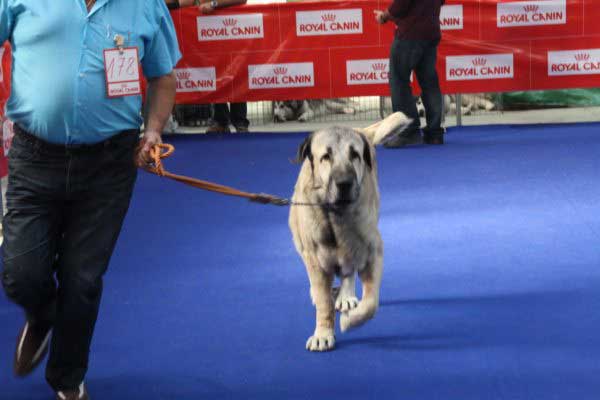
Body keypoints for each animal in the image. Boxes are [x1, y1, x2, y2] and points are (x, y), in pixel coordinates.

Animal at [288, 111, 410, 350]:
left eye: (355, 155)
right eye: (326, 156)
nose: (344, 182)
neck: (337, 217)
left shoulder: (372, 252)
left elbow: (371, 302)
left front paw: (349, 320)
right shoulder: (315, 259)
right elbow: (324, 302)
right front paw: (323, 332)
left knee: (348, 273)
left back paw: (345, 296)